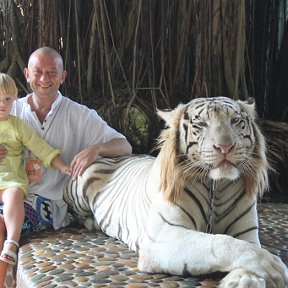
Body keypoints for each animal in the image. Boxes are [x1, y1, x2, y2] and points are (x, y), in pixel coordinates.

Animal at [64, 97, 288, 288]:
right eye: (201, 124)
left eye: (235, 121)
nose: (225, 147)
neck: (215, 186)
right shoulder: (162, 237)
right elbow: (220, 242)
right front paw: (272, 265)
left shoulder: (246, 234)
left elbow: (246, 248)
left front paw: (245, 279)